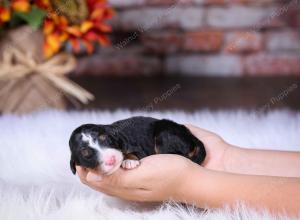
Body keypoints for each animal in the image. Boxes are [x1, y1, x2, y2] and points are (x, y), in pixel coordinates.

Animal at [69, 115, 205, 175]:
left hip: (164, 135)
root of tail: (188, 133)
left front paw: (129, 161)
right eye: (85, 153)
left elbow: (131, 153)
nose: (111, 159)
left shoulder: (138, 148)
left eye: (104, 138)